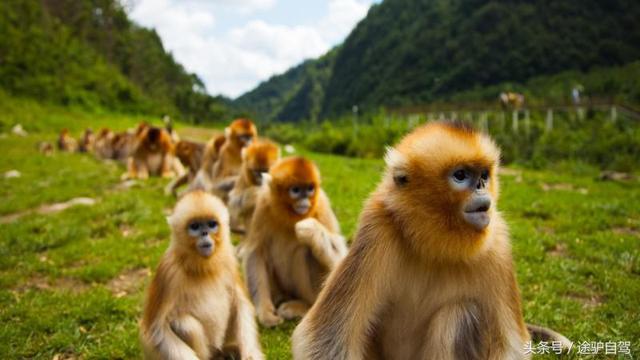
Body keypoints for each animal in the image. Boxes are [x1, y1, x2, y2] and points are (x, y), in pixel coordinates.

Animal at [141, 190, 264, 358]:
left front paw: (249, 355)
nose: (205, 233)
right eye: (195, 226)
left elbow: (241, 304)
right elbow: (158, 332)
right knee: (185, 324)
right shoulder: (168, 271)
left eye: (211, 224)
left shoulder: (229, 261)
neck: (202, 268)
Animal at [242, 156, 348, 328]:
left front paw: (310, 229)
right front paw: (265, 313)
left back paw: (303, 307)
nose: (305, 200)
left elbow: (340, 260)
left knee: (306, 250)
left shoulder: (321, 204)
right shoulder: (264, 203)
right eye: (296, 190)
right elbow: (256, 253)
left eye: (310, 188)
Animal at [292, 121, 568, 360]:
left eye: (484, 175)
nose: (481, 187)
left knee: (459, 314)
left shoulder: (498, 242)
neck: (434, 245)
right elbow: (327, 337)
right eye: (460, 175)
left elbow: (511, 345)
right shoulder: (378, 228)